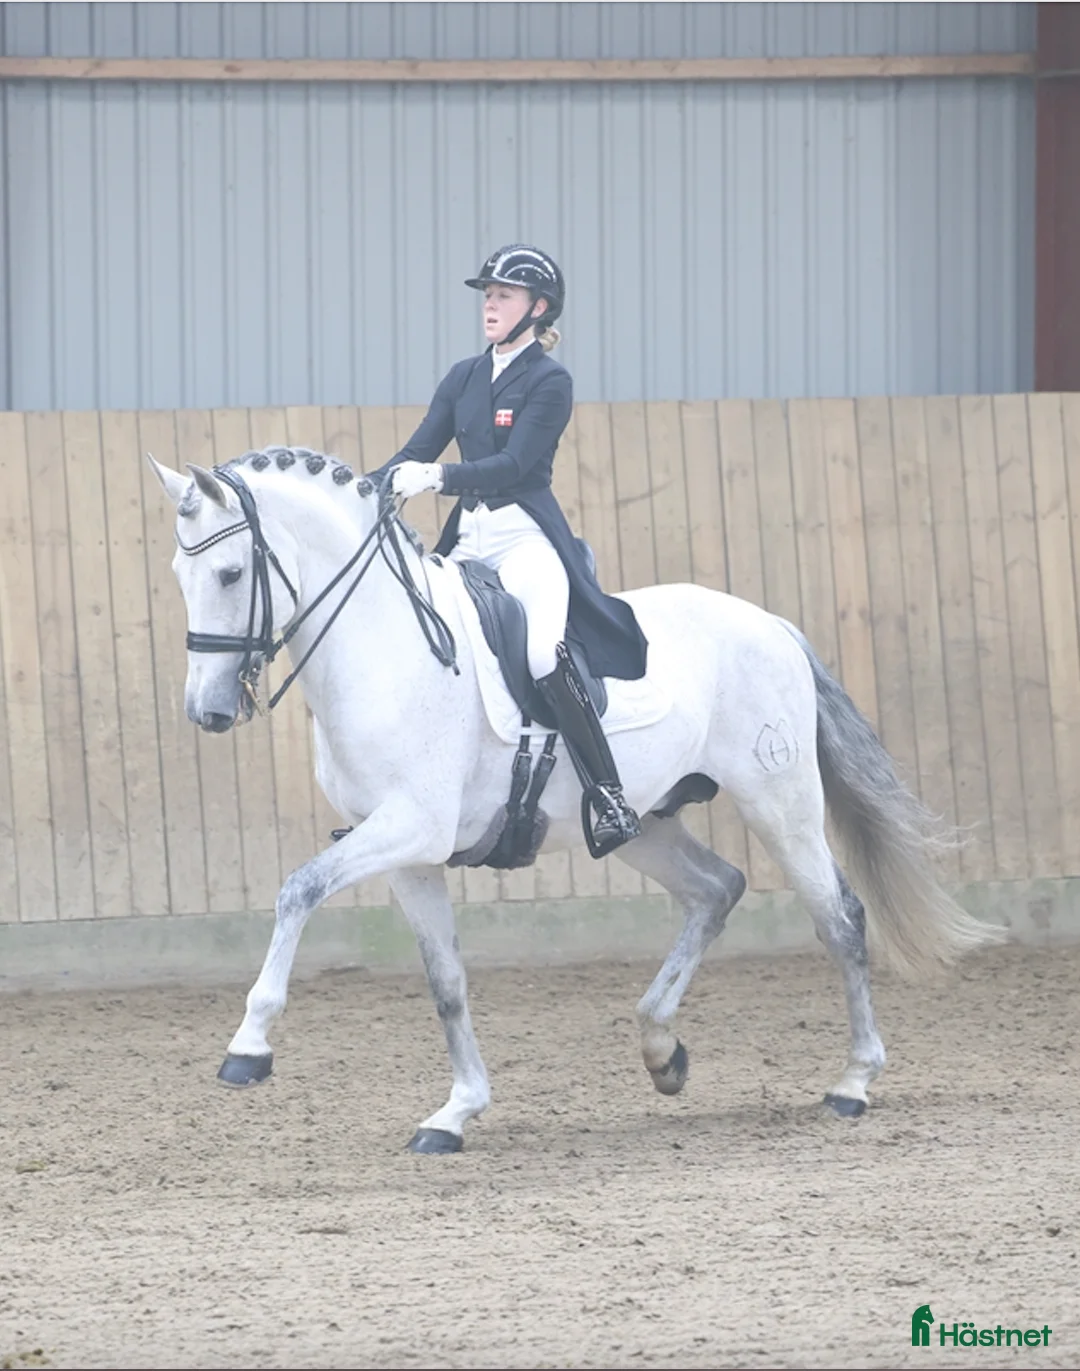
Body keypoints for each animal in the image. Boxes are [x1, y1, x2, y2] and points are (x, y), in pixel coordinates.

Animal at [148, 445, 1004, 1153]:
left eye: (229, 575)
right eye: (179, 578)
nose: (207, 711)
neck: (385, 647)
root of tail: (770, 624)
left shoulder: (408, 827)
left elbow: (297, 889)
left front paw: (249, 1045)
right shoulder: (407, 852)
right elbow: (445, 980)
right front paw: (456, 1111)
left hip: (779, 800)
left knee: (839, 918)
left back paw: (852, 1082)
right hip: (644, 822)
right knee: (716, 888)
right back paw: (662, 1050)